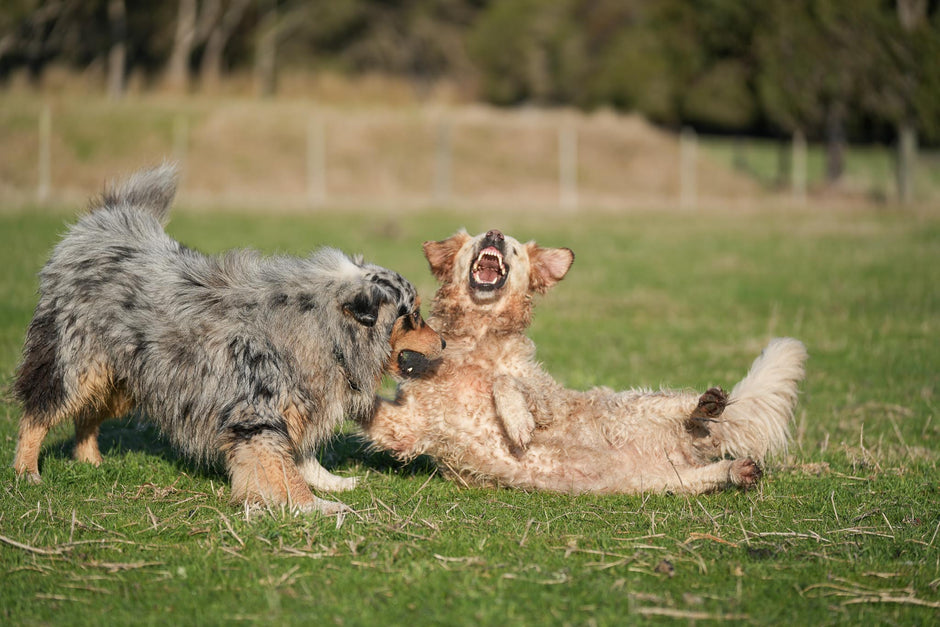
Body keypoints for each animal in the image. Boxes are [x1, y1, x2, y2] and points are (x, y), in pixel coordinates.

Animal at [11, 167, 444, 516]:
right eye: (413, 315)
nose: (443, 343)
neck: (323, 324)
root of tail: (102, 223)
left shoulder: (296, 403)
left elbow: (300, 456)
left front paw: (331, 483)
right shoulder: (256, 415)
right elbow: (285, 470)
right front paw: (314, 506)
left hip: (127, 377)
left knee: (87, 416)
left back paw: (90, 461)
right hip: (77, 363)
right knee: (39, 413)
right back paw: (27, 472)